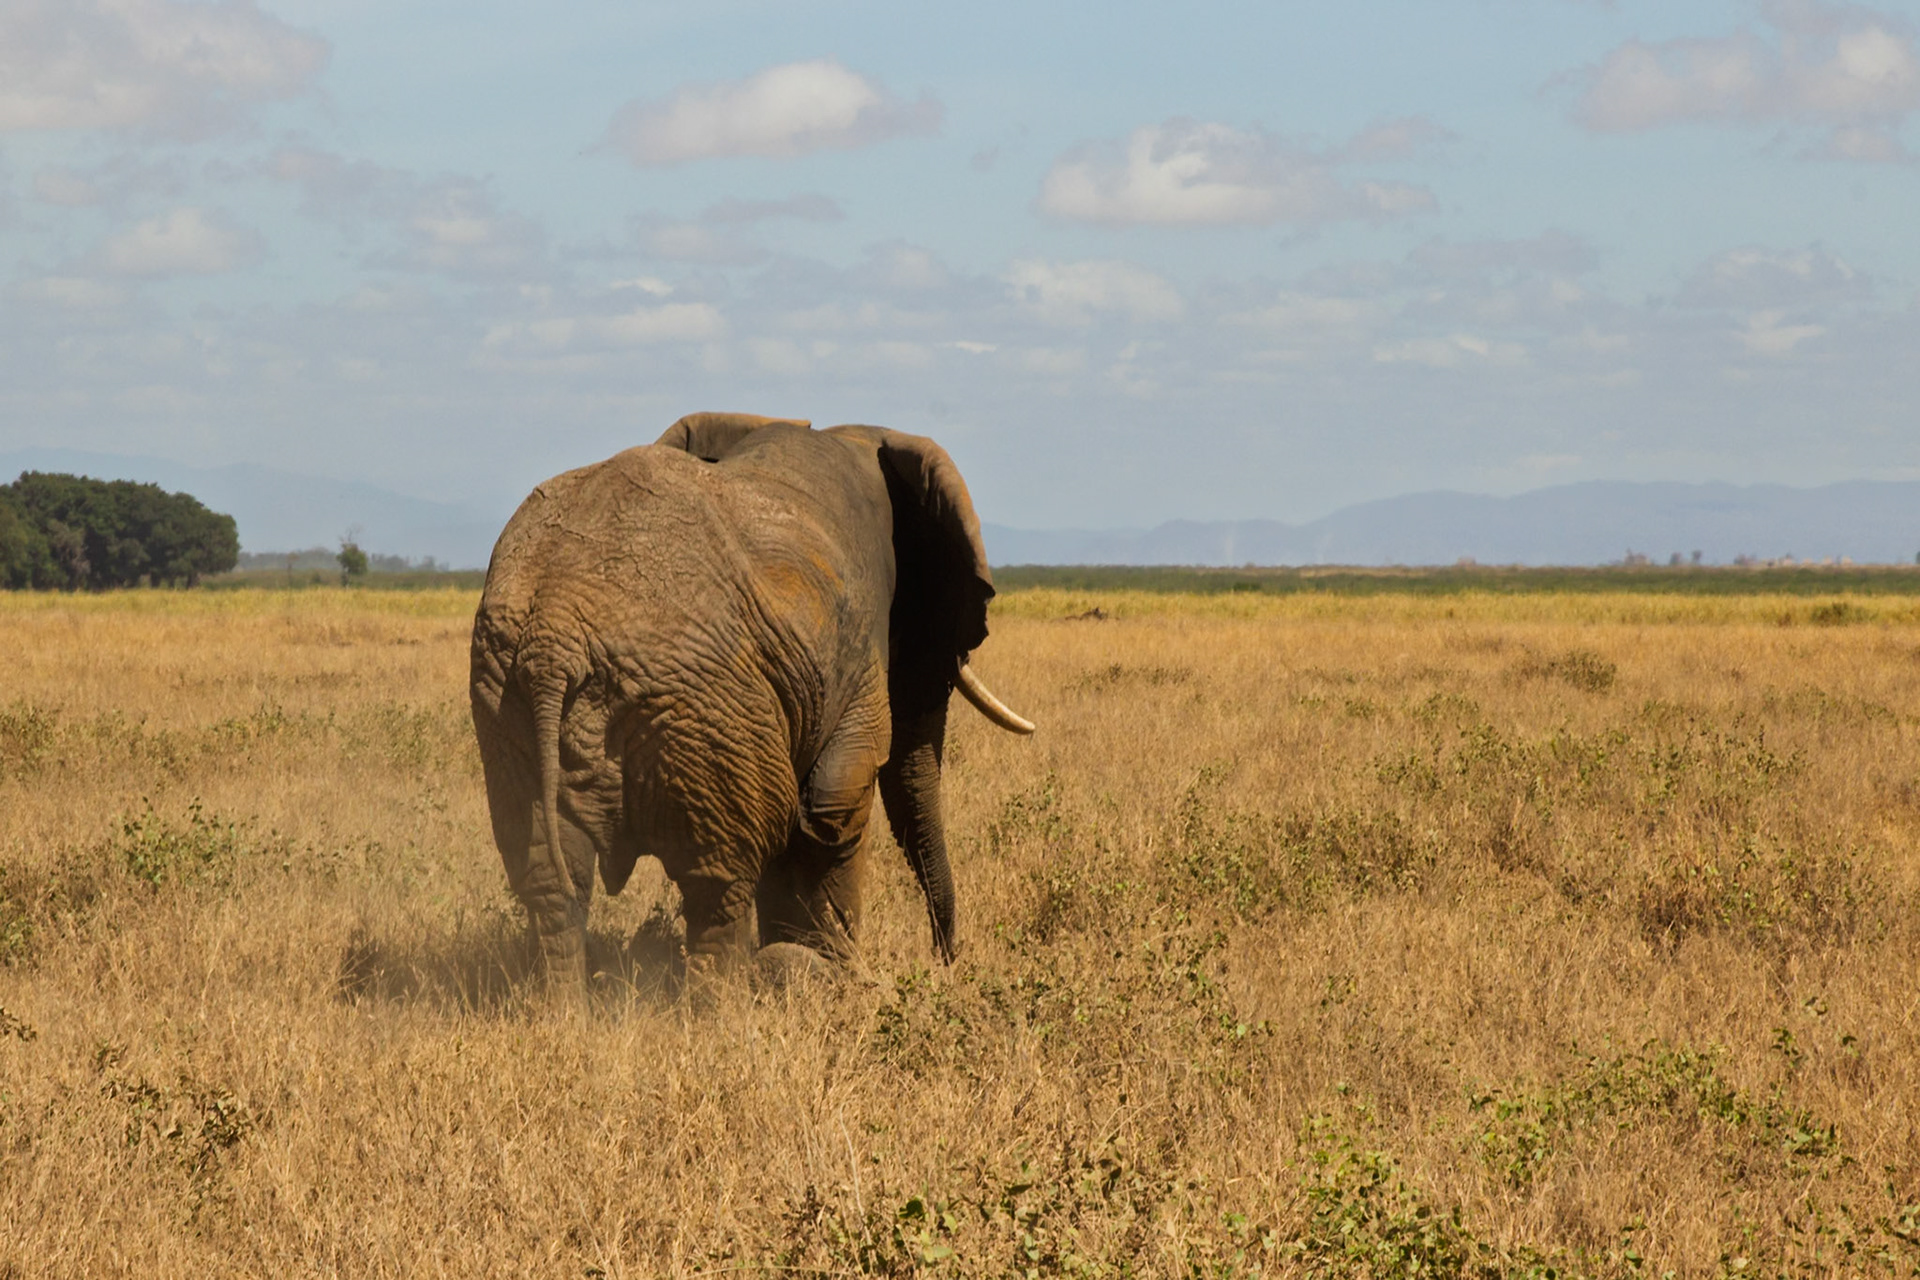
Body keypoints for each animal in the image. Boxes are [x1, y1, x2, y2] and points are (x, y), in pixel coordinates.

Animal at [468, 412, 1035, 991]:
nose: (945, 959)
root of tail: (553, 636)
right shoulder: (861, 640)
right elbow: (836, 799)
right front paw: (835, 972)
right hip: (703, 714)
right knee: (722, 878)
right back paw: (726, 1001)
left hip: (507, 701)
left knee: (551, 883)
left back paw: (566, 1008)